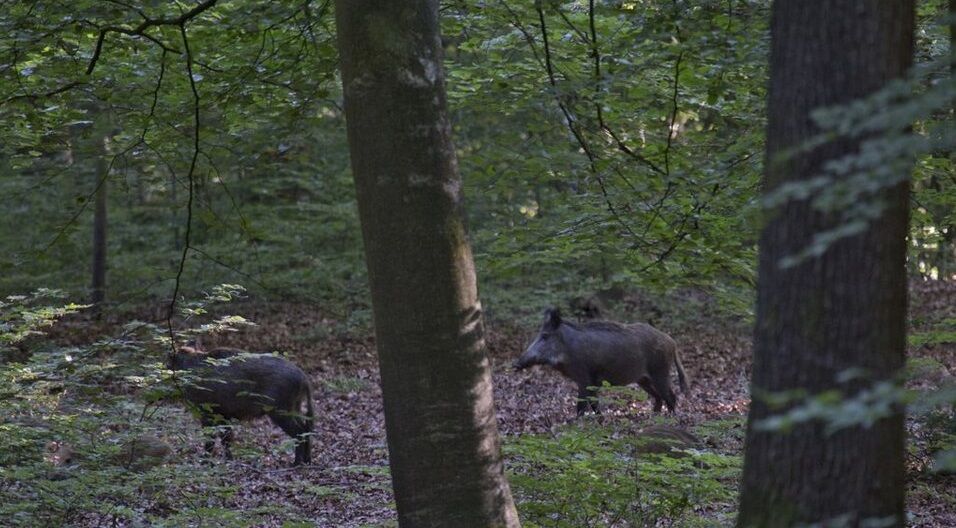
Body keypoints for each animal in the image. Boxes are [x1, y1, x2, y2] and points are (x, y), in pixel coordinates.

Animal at [168, 346, 315, 465]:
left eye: (168, 363)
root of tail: (303, 377)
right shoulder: (224, 414)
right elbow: (226, 438)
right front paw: (229, 460)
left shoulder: (208, 411)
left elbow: (211, 438)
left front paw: (205, 463)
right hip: (294, 407)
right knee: (306, 428)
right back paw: (307, 461)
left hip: (279, 410)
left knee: (299, 431)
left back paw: (295, 464)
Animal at [513, 308, 689, 415]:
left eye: (545, 336)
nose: (516, 364)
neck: (568, 349)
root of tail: (672, 342)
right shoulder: (592, 381)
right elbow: (594, 404)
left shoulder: (584, 378)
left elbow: (581, 406)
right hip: (643, 379)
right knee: (659, 398)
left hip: (660, 372)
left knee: (671, 397)